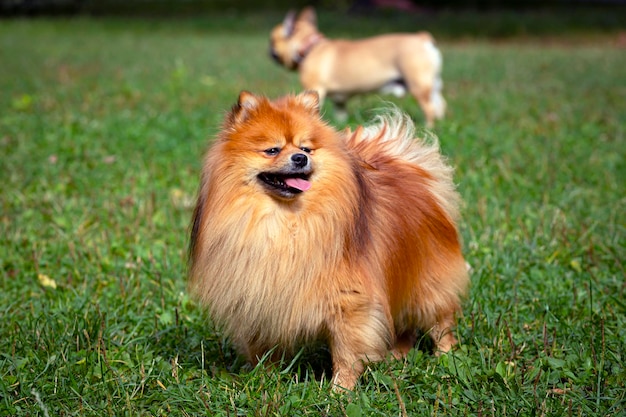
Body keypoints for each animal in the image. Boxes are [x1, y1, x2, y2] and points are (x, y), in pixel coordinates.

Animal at [188, 91, 466, 390]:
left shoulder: (350, 302)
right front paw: (266, 380)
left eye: (306, 148)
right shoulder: (257, 298)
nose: (300, 158)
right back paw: (397, 355)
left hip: (426, 281)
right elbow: (264, 350)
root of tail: (409, 167)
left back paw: (445, 356)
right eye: (272, 150)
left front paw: (340, 390)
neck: (286, 222)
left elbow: (346, 352)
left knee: (441, 320)